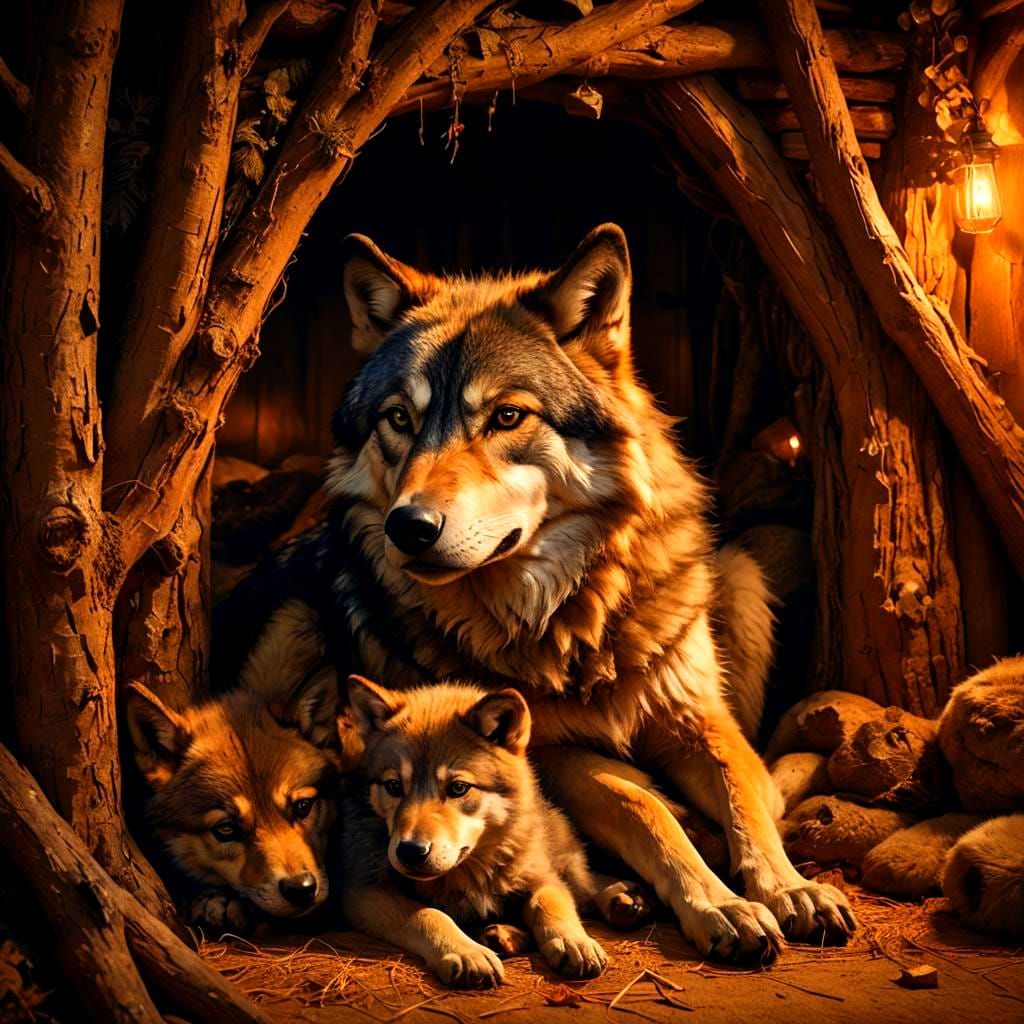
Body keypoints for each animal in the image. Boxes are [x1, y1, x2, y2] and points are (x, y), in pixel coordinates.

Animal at [341, 675, 638, 987]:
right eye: (394, 786)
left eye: (459, 788)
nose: (410, 852)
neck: (470, 871)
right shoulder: (364, 893)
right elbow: (428, 914)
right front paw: (466, 952)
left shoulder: (542, 877)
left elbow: (549, 902)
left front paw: (573, 942)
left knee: (584, 881)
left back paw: (622, 898)